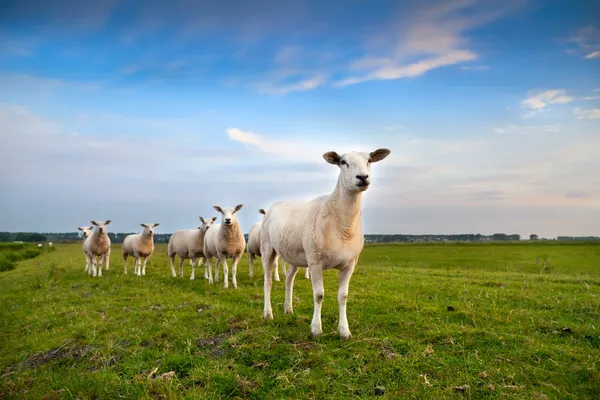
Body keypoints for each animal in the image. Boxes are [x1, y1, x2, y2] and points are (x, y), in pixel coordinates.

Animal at [260, 148, 392, 340]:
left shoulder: (350, 264)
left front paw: (344, 331)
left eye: (369, 160)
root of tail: (275, 205)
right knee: (268, 281)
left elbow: (343, 296)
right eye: (343, 162)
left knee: (289, 279)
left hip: (295, 255)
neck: (343, 227)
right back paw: (268, 313)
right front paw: (316, 329)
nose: (362, 177)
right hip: (268, 248)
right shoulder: (315, 261)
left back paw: (288, 309)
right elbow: (319, 295)